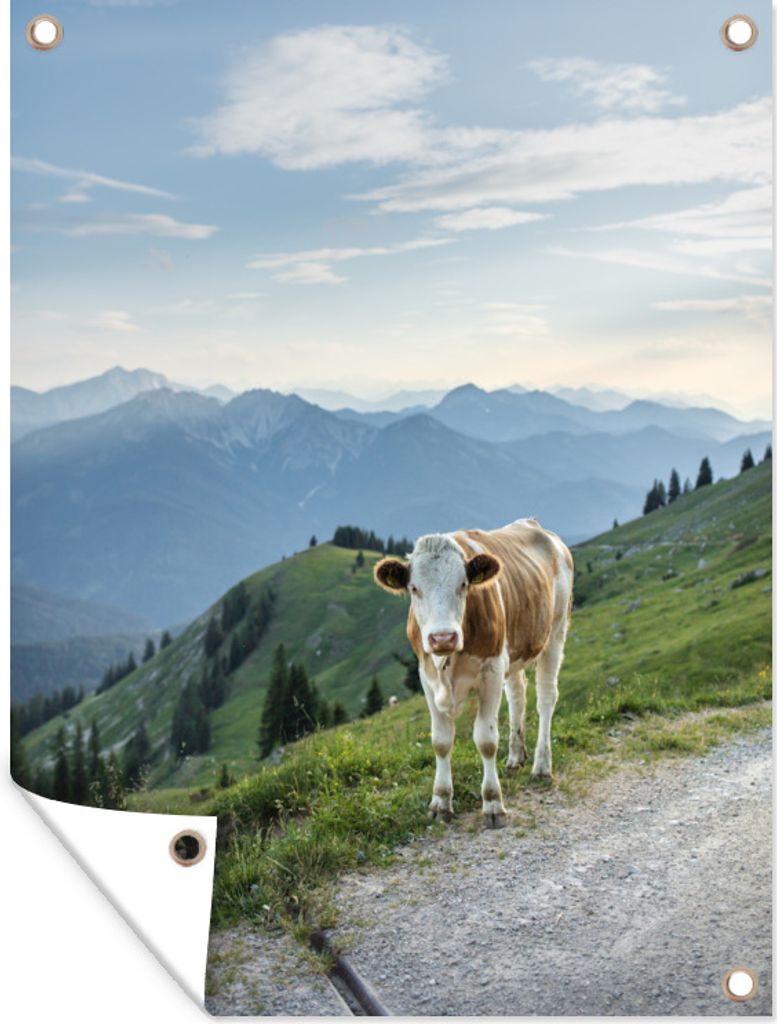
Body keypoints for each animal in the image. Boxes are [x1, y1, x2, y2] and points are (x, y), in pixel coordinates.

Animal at [374, 519, 573, 828]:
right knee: (517, 696)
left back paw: (541, 766)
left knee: (546, 699)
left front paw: (493, 803)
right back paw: (516, 757)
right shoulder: (426, 677)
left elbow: (486, 740)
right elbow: (440, 741)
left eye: (463, 584)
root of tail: (533, 524)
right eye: (414, 588)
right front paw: (440, 802)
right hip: (514, 651)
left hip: (555, 631)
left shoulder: (491, 669)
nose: (442, 638)